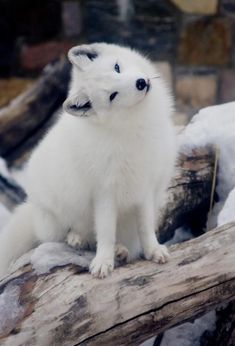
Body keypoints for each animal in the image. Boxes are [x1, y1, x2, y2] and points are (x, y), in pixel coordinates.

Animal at [0, 43, 176, 280]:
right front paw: (103, 261)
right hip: (56, 217)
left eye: (117, 67)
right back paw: (80, 239)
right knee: (71, 236)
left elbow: (146, 227)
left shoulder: (144, 188)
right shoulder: (104, 194)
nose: (141, 83)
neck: (131, 127)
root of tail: (32, 209)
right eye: (112, 96)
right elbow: (105, 233)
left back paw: (120, 250)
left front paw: (153, 250)